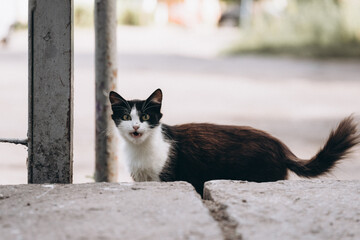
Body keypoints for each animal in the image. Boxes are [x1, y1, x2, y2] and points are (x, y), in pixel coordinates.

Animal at [109, 88, 360, 195]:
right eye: (126, 117)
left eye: (145, 117)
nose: (135, 127)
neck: (140, 151)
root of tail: (281, 146)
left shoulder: (167, 176)